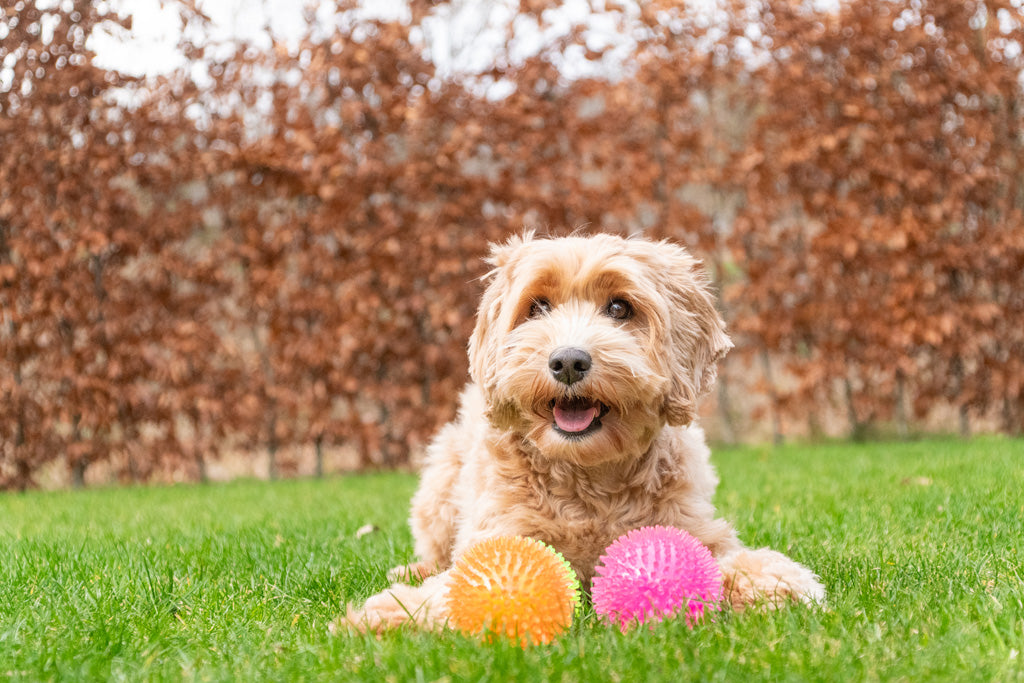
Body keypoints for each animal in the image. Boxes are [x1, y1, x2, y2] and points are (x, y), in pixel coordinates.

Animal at [339, 232, 827, 634]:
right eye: (537, 306)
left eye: (619, 308)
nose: (568, 361)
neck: (589, 477)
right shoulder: (503, 532)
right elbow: (467, 581)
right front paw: (391, 613)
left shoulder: (692, 526)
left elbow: (726, 558)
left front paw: (777, 580)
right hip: (439, 489)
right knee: (435, 551)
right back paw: (411, 571)